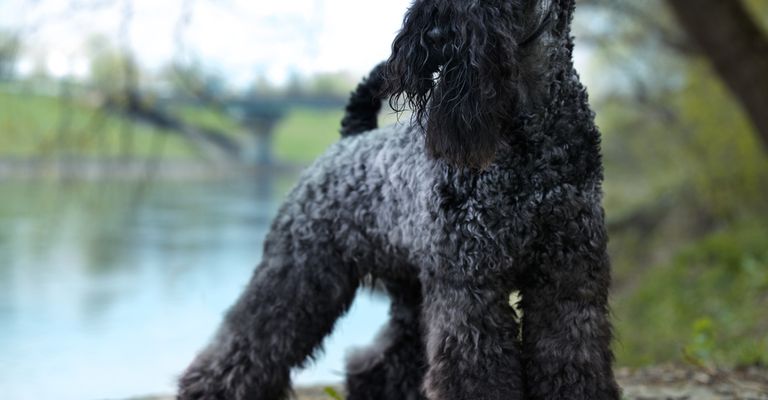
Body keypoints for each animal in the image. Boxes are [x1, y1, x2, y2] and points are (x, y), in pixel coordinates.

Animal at [178, 0, 616, 400]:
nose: (435, 35)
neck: (531, 133)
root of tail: (349, 141)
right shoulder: (470, 284)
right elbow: (474, 367)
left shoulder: (568, 276)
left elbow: (571, 354)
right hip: (300, 269)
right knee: (256, 332)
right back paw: (209, 388)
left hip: (409, 287)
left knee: (384, 356)